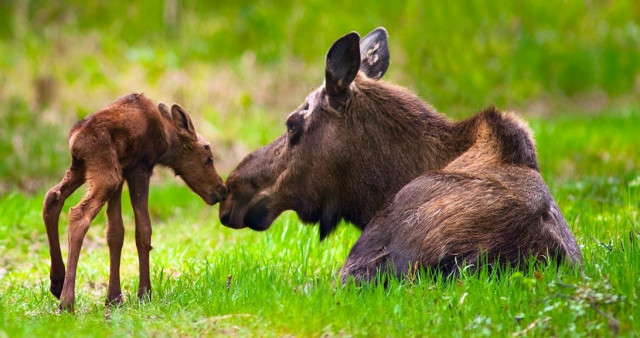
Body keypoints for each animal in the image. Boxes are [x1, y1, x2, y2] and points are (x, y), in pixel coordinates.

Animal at [43, 93, 228, 310]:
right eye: (208, 158)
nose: (222, 190)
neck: (166, 141)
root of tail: (75, 141)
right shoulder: (140, 168)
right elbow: (143, 229)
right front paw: (144, 293)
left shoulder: (123, 171)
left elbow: (115, 233)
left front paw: (114, 298)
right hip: (106, 175)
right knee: (78, 214)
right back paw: (67, 301)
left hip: (84, 169)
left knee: (52, 197)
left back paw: (57, 282)